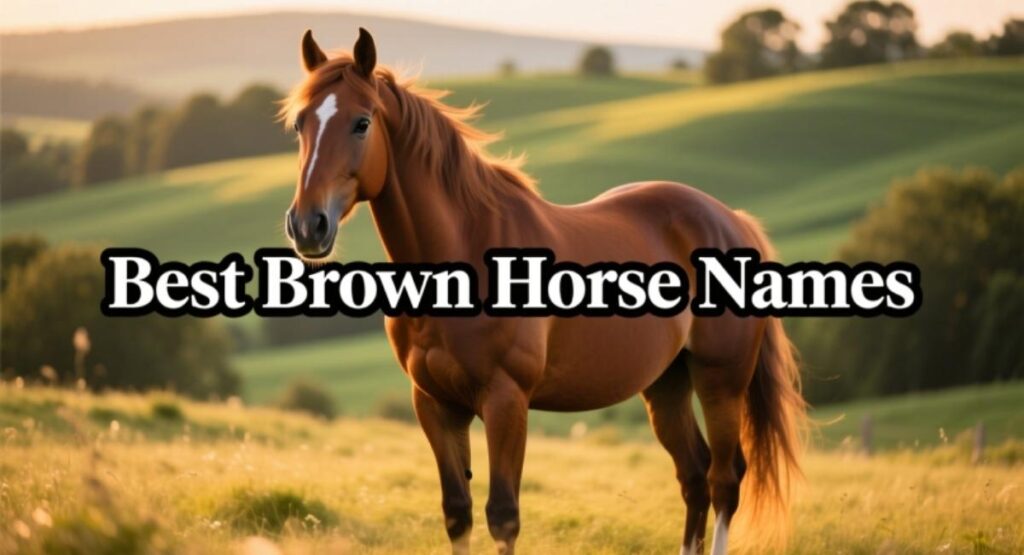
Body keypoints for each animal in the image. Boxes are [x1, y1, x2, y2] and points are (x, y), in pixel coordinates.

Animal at [279, 28, 806, 555]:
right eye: (300, 124)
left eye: (361, 123)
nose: (307, 226)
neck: (467, 253)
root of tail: (731, 220)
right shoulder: (435, 404)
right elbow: (457, 513)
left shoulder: (506, 401)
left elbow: (502, 516)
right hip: (666, 384)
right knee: (694, 477)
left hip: (721, 381)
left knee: (724, 479)